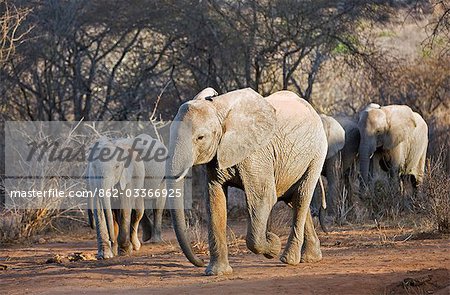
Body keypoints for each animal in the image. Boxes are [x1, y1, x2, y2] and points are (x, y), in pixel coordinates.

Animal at [165, 86, 326, 276]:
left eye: (200, 138)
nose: (200, 261)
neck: (218, 107)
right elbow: (215, 201)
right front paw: (217, 273)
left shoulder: (256, 153)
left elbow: (262, 199)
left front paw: (272, 243)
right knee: (293, 199)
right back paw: (311, 258)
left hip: (317, 152)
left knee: (301, 196)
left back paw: (288, 259)